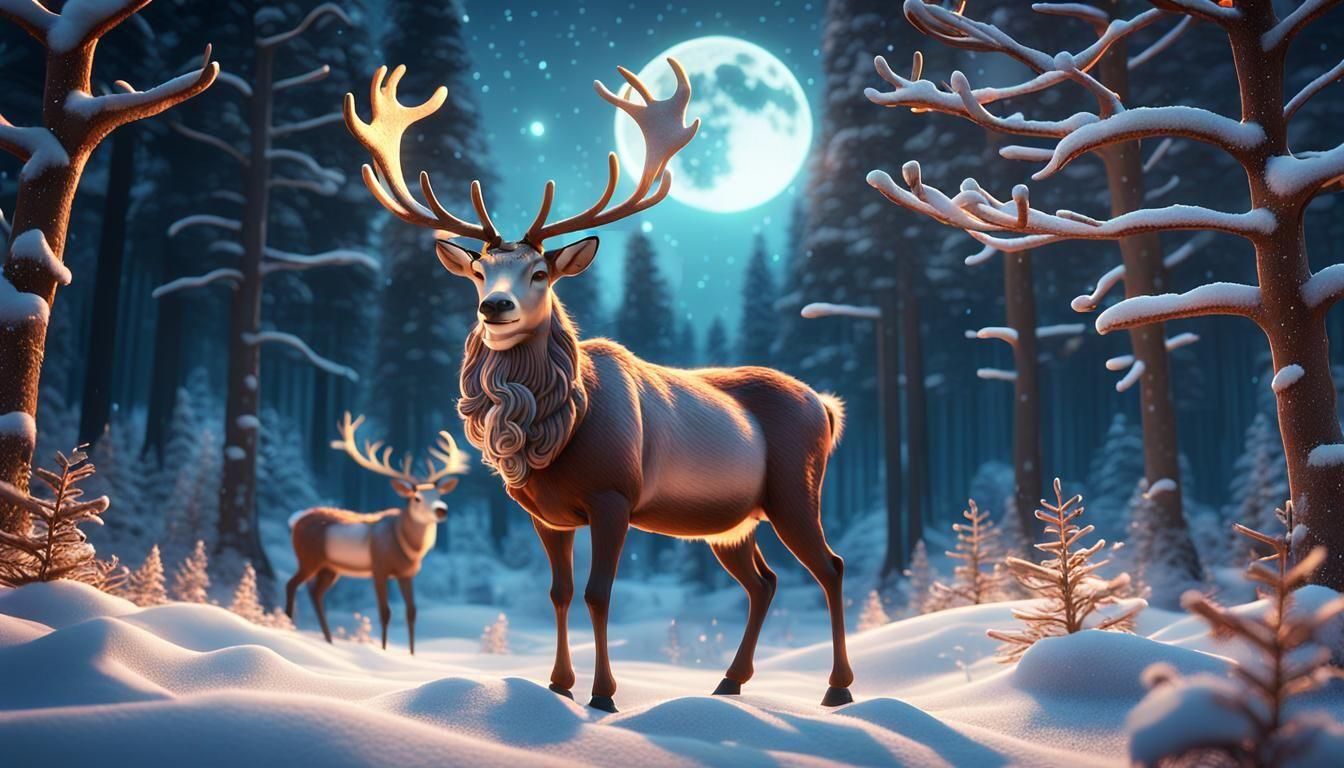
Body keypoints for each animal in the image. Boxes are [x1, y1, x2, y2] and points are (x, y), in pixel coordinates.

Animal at [285, 412, 469, 654]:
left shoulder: (406, 574)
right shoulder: (379, 568)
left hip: (329, 567)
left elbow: (412, 612)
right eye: (416, 498)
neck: (404, 542)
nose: (441, 509)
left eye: (439, 494)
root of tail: (295, 520)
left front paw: (411, 655)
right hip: (308, 558)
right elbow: (385, 612)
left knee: (315, 593)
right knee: (292, 584)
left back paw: (328, 640)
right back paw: (287, 627)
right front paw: (383, 650)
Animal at [344, 59, 853, 711]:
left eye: (540, 272)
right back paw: (729, 681)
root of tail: (827, 407)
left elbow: (597, 593)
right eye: (479, 271)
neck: (555, 431)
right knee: (763, 582)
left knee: (831, 566)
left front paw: (603, 695)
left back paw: (836, 689)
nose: (494, 306)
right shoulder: (545, 515)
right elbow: (558, 593)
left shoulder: (615, 496)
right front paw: (558, 684)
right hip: (730, 523)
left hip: (796, 488)